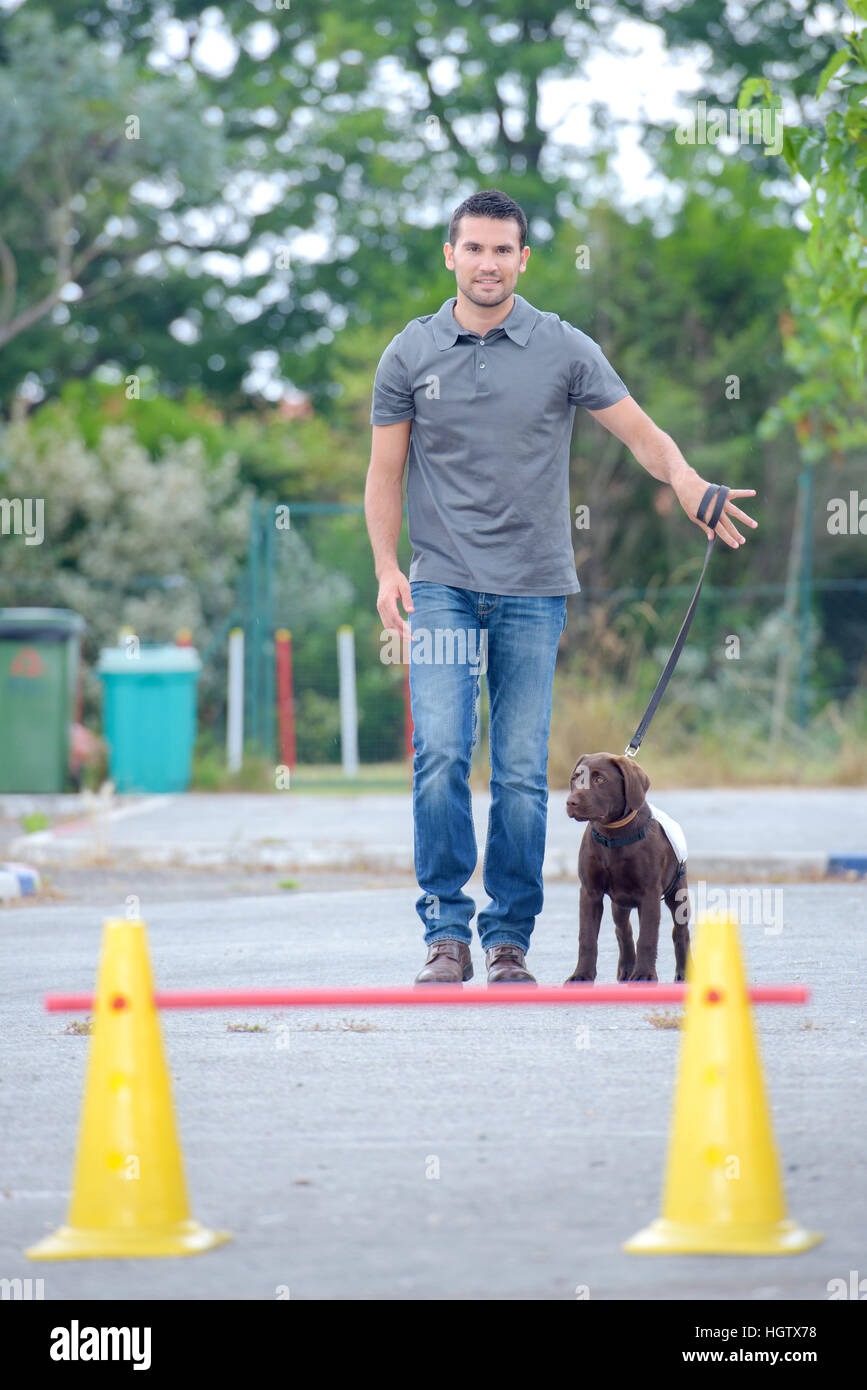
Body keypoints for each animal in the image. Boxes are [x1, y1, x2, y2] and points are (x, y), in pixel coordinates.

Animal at [561, 756, 691, 984]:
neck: (612, 834)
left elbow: (647, 937)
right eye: (575, 778)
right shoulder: (589, 892)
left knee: (680, 931)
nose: (571, 802)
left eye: (600, 779)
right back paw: (627, 968)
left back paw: (683, 973)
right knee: (623, 930)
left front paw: (645, 974)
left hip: (677, 892)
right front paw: (582, 974)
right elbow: (587, 938)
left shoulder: (649, 893)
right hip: (619, 903)